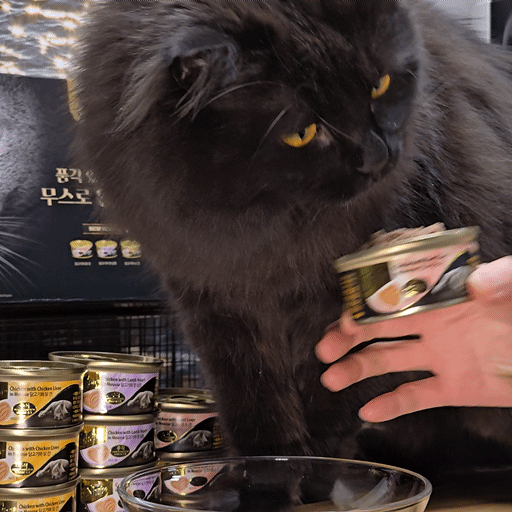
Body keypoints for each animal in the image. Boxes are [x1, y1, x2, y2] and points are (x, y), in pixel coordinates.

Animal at [73, 0, 512, 482]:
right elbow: (259, 418)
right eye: (303, 133)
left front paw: (321, 474)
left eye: (380, 85)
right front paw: (268, 481)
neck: (271, 228)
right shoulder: (213, 301)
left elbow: (335, 403)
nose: (379, 157)